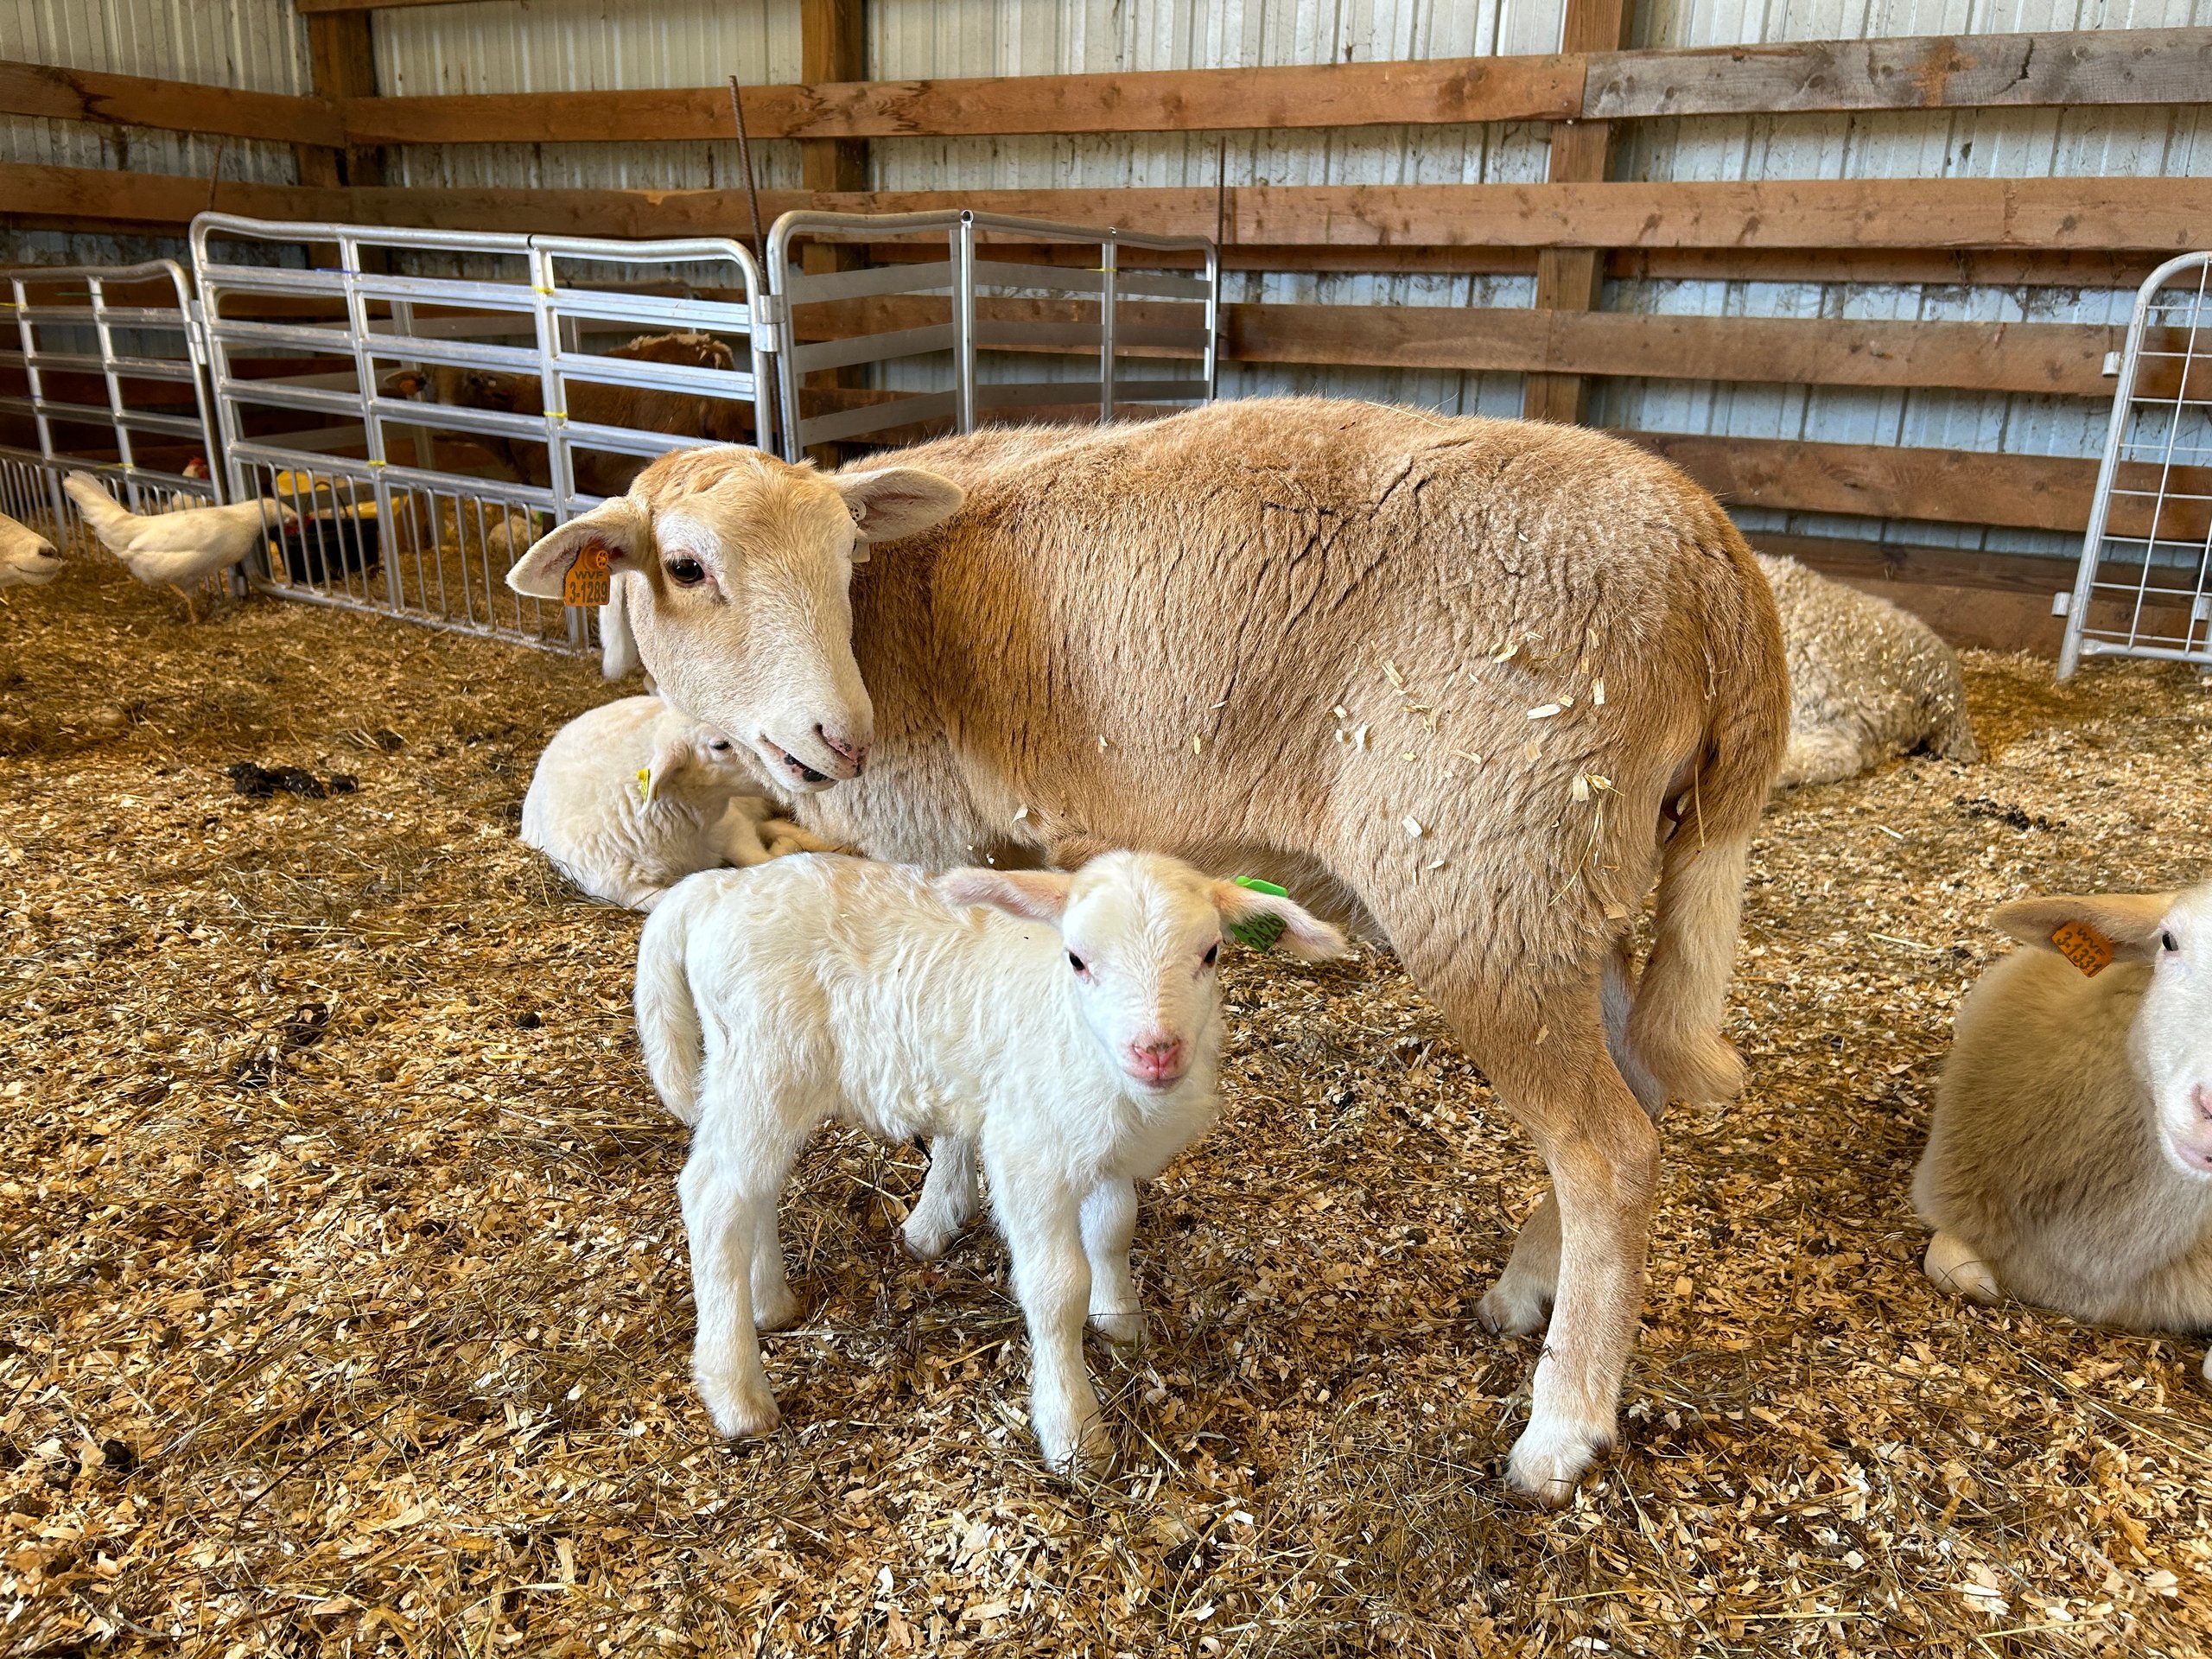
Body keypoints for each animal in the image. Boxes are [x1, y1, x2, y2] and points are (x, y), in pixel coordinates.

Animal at [520, 695, 838, 911]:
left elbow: (760, 859)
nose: (796, 761)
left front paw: (789, 845)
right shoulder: (623, 891)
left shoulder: (731, 825)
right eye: (720, 745)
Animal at [633, 849, 1347, 1471]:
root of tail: (714, 890)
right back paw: (737, 1392)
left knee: (748, 1190)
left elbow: (1114, 1228)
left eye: (1211, 952)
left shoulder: (1106, 1150)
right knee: (714, 1196)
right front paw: (1074, 1431)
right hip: (765, 1061)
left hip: (750, 1073)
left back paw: (769, 1302)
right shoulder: (1028, 1151)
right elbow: (1057, 1287)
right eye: (1078, 960)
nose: (1156, 1051)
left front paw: (1120, 1319)